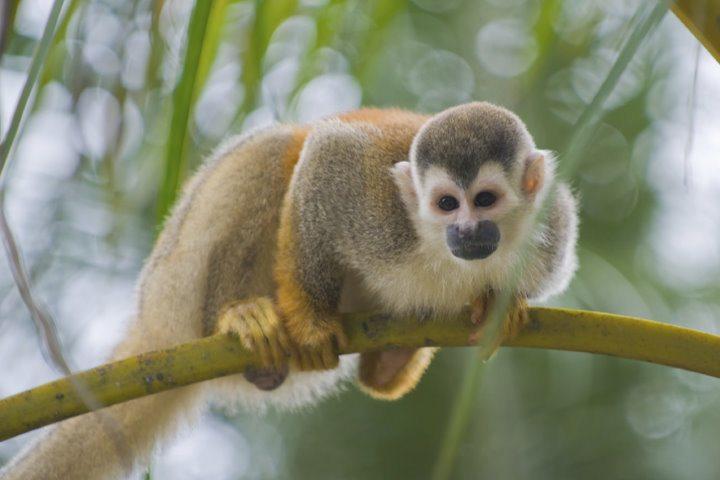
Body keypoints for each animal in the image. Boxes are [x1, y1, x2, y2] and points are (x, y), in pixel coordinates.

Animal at [0, 101, 572, 476]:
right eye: (447, 204)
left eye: (485, 199)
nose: (467, 231)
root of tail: (154, 327)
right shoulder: (377, 209)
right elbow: (324, 159)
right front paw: (312, 325)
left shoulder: (553, 233)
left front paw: (497, 307)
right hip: (176, 277)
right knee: (278, 152)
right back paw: (239, 318)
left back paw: (386, 366)